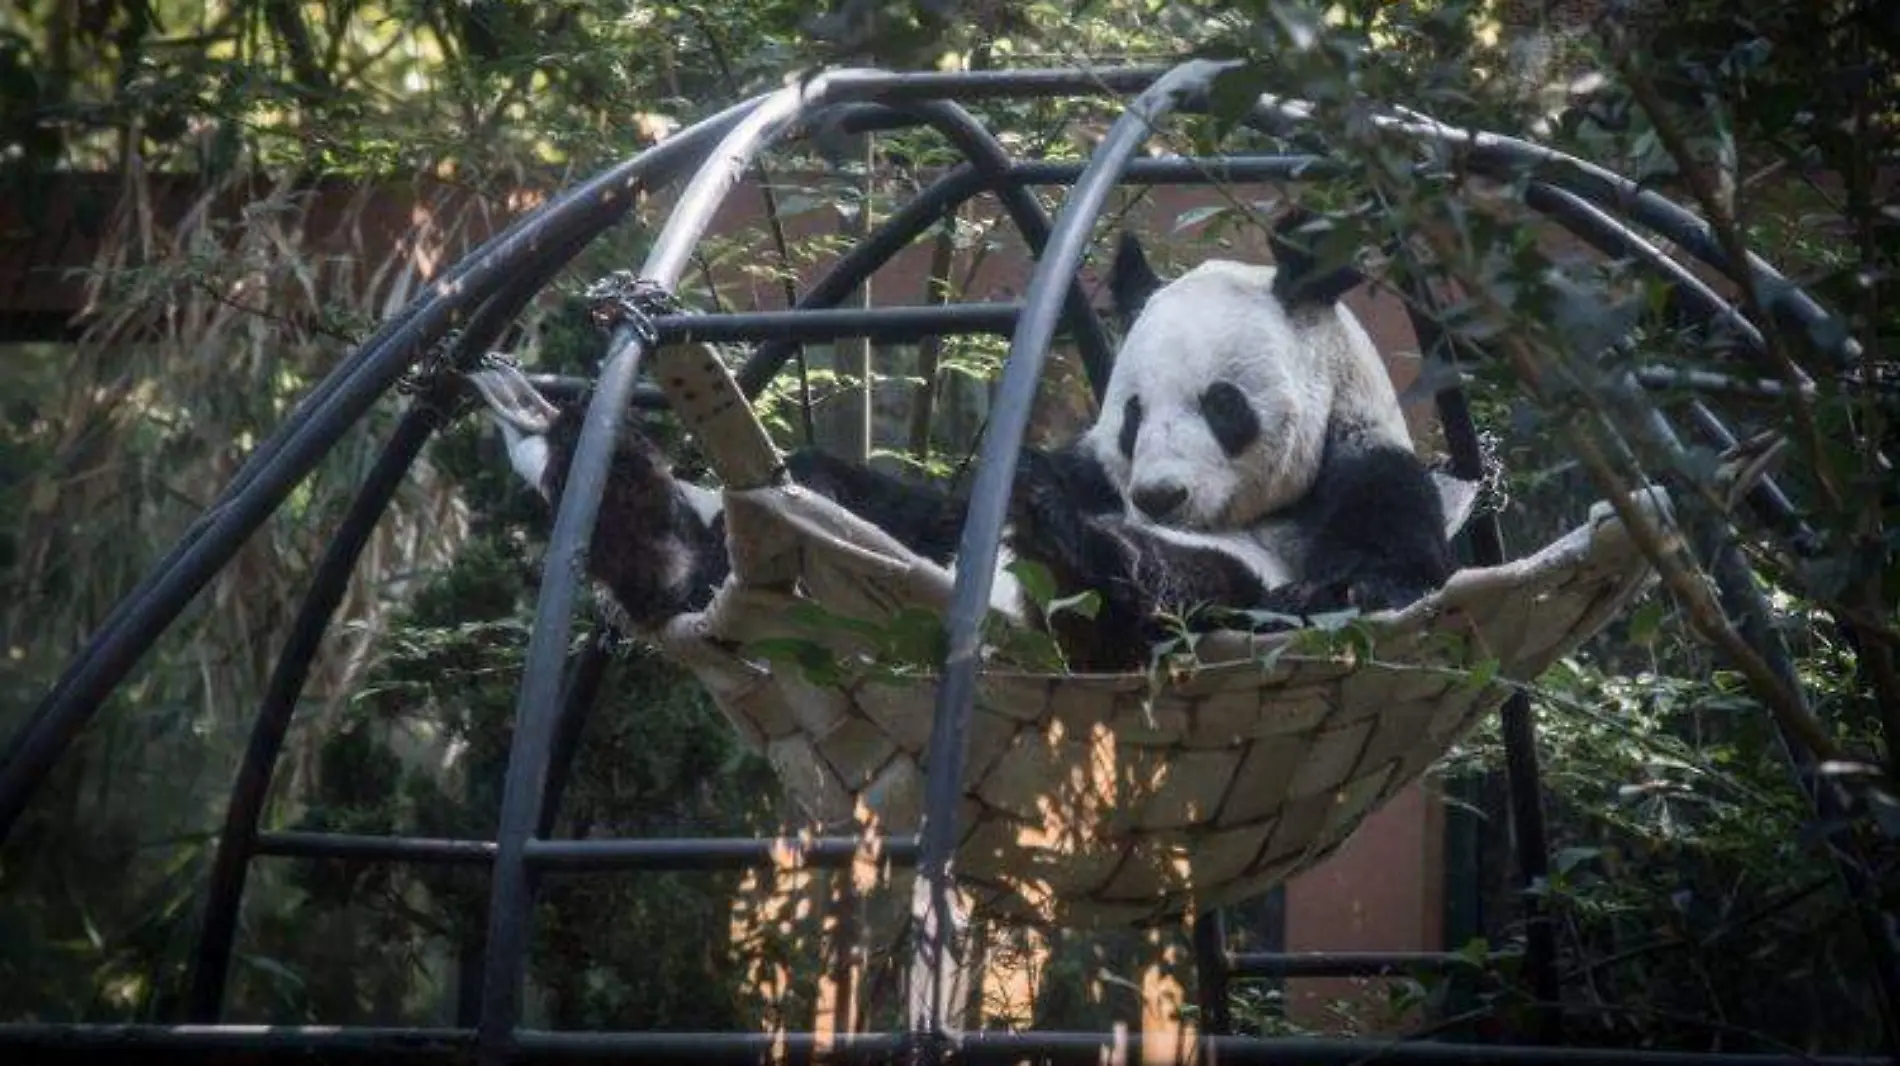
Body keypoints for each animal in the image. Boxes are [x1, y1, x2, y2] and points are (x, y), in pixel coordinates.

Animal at [467, 210, 1444, 668]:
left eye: (1223, 406)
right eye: (1132, 415)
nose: (1159, 495)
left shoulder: (1367, 476)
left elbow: (1377, 581)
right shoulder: (1087, 467)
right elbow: (943, 512)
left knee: (1174, 589)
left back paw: (1066, 543)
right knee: (813, 508)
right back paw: (615, 496)